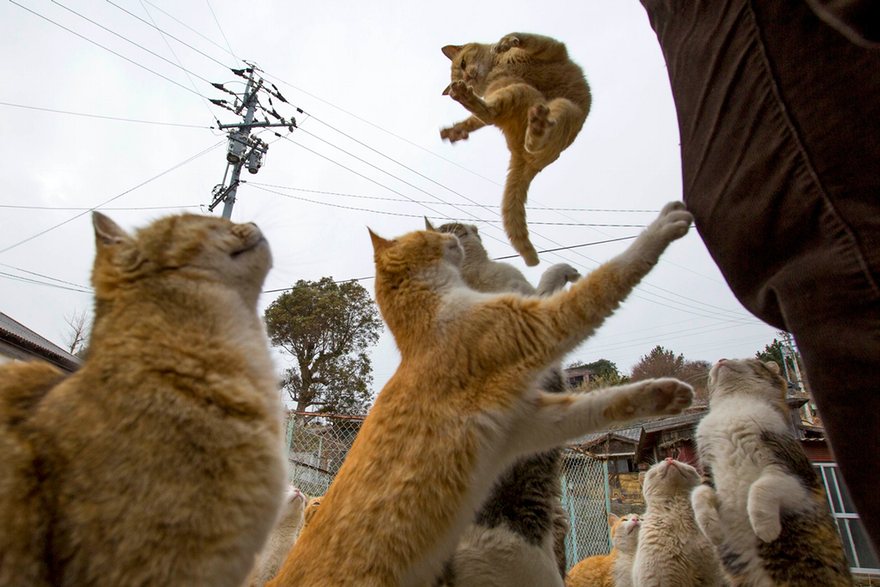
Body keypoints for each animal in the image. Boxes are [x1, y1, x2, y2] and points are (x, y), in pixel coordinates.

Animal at [268, 202, 696, 587]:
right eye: (445, 232)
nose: (460, 232)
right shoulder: (534, 320)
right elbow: (599, 279)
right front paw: (663, 226)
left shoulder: (529, 410)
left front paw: (665, 393)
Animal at [440, 33, 592, 268]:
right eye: (463, 72)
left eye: (463, 64)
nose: (466, 79)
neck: (496, 67)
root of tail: (519, 153)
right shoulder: (501, 85)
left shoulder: (552, 48)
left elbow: (523, 38)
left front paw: (506, 43)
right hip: (524, 93)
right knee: (495, 117)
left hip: (554, 104)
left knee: (494, 117)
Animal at [696, 358, 852, 587]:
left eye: (747, 360)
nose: (721, 359)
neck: (734, 406)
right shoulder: (707, 470)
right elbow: (698, 494)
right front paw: (711, 529)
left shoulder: (796, 476)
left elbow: (762, 487)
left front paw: (765, 529)